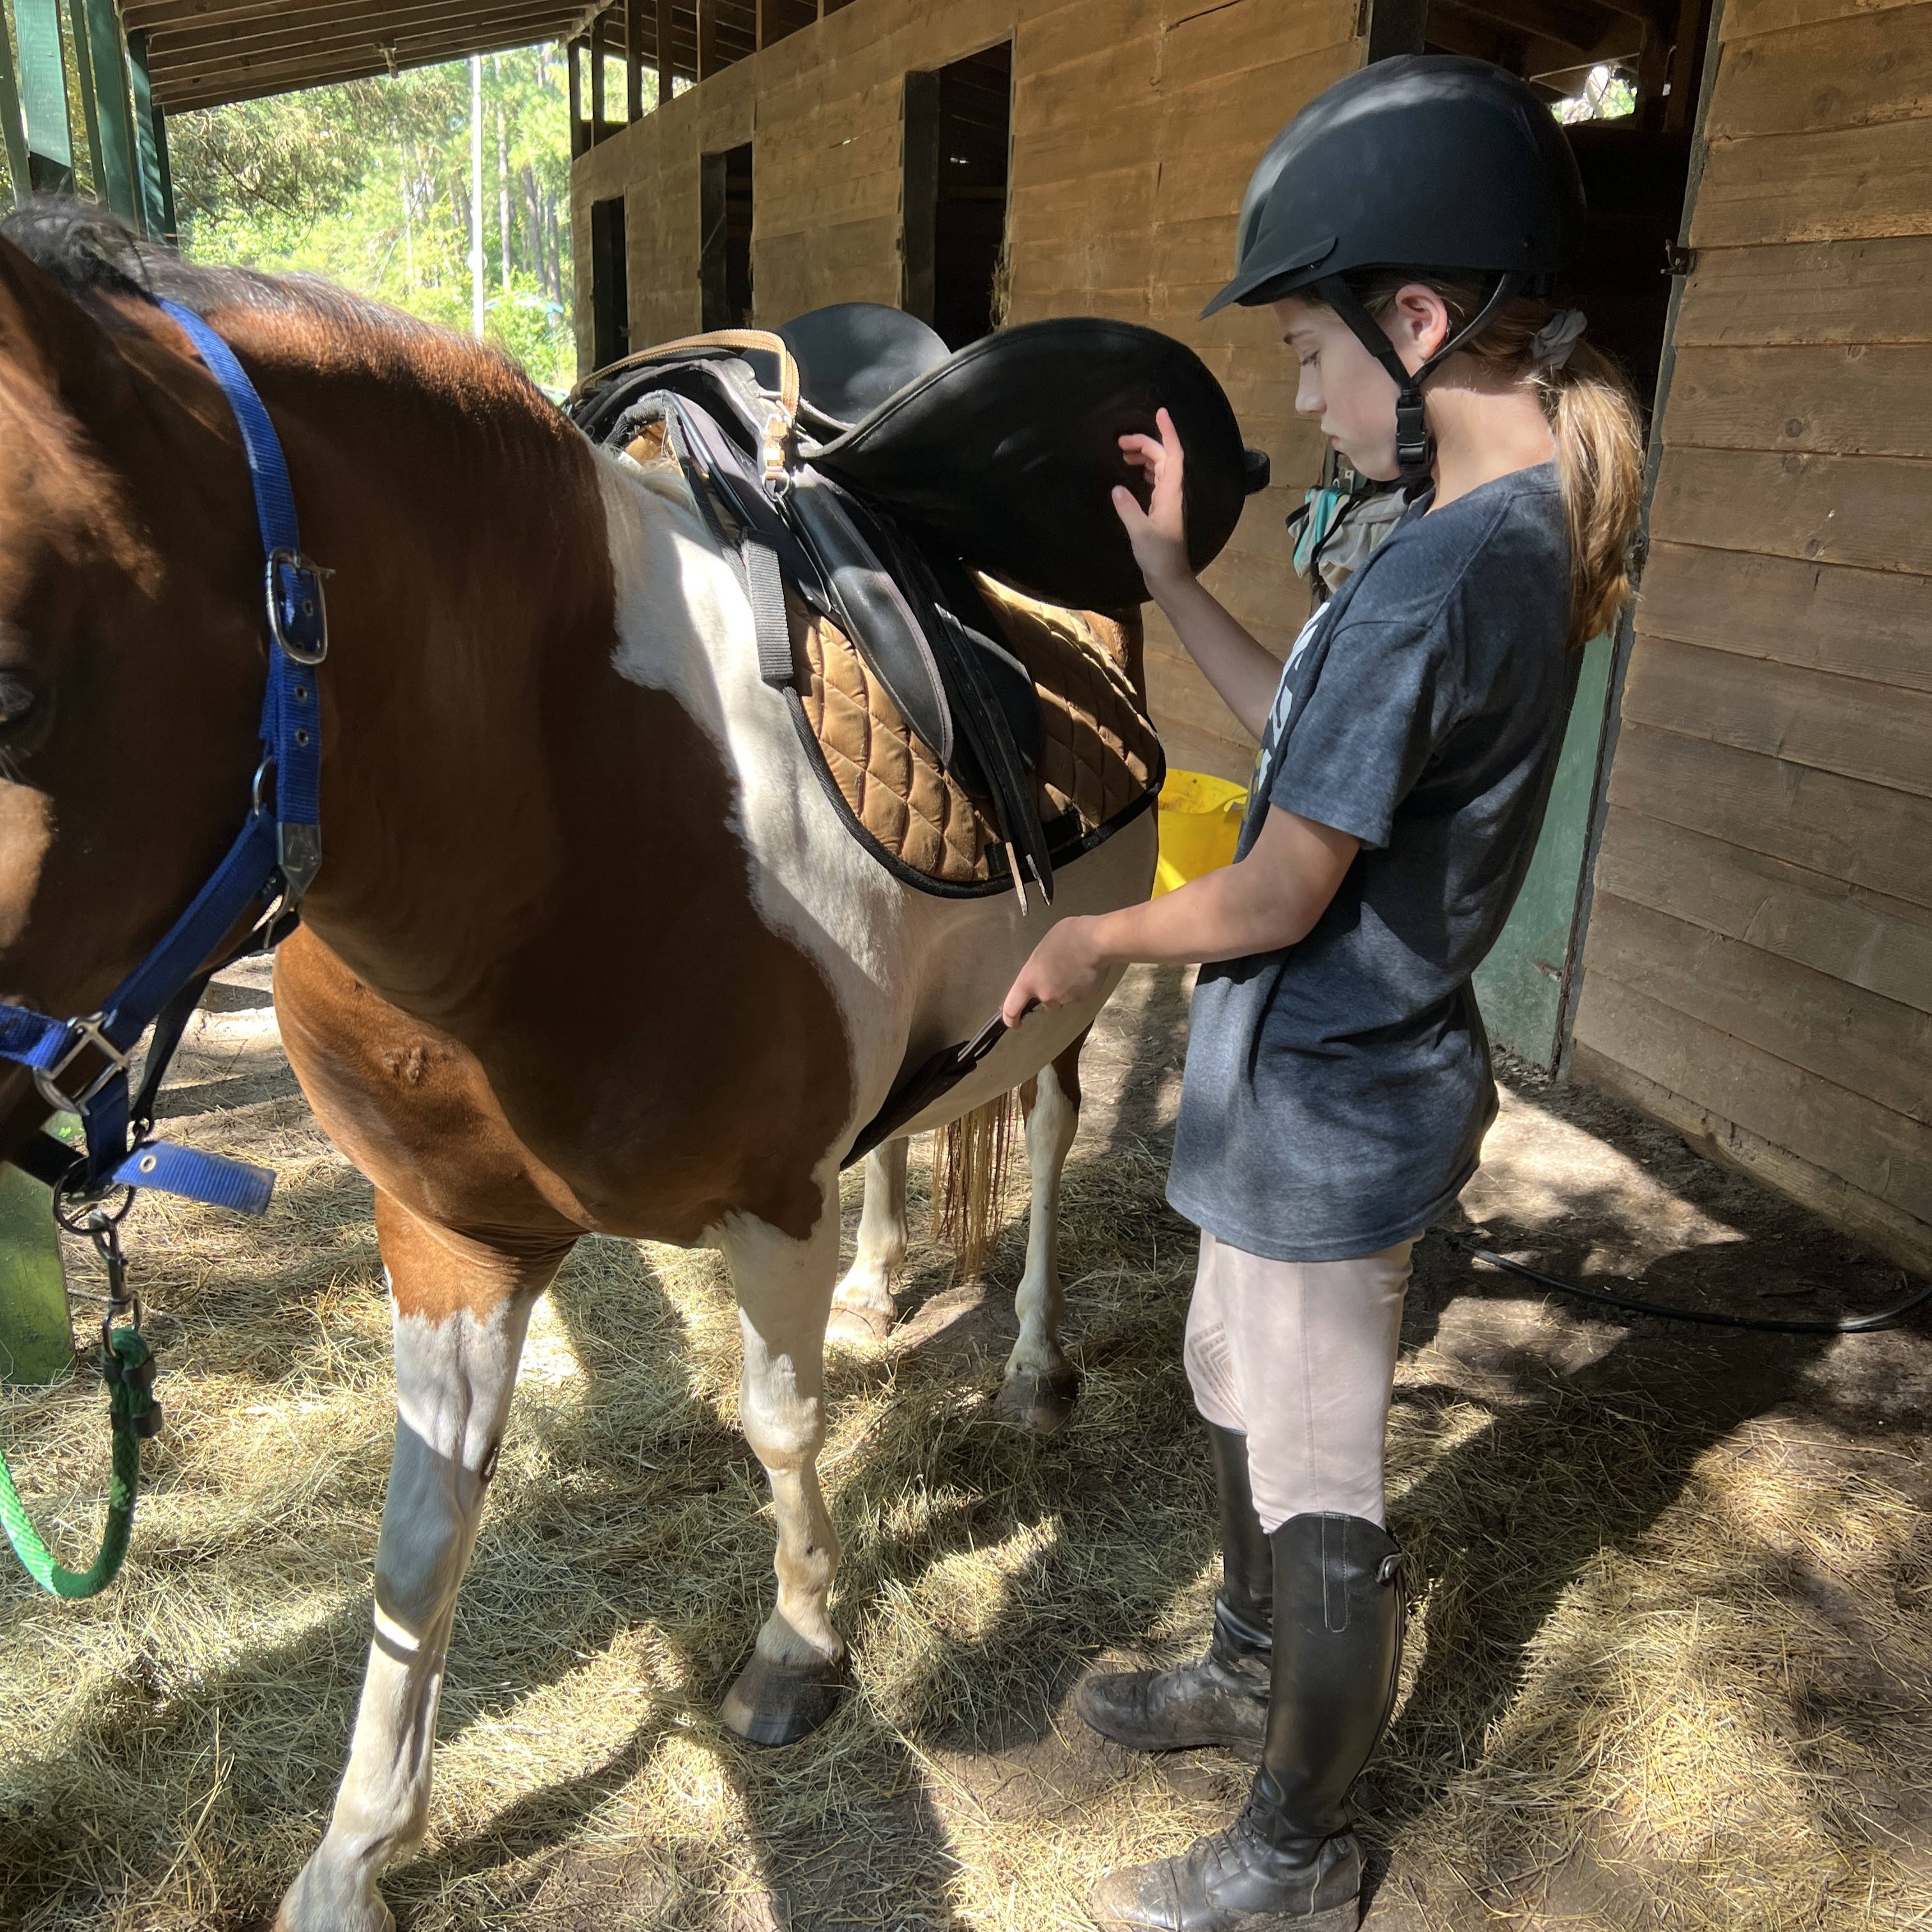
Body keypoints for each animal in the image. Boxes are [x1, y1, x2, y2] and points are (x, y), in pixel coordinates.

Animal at [0, 210, 1156, 1932]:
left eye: (9, 686)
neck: (559, 809)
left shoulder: (766, 1208)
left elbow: (779, 1427)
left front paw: (796, 1653)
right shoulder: (453, 1238)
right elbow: (418, 1541)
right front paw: (353, 1855)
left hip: (1071, 1007)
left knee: (1059, 1150)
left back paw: (1029, 1365)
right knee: (899, 1142)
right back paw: (886, 1287)